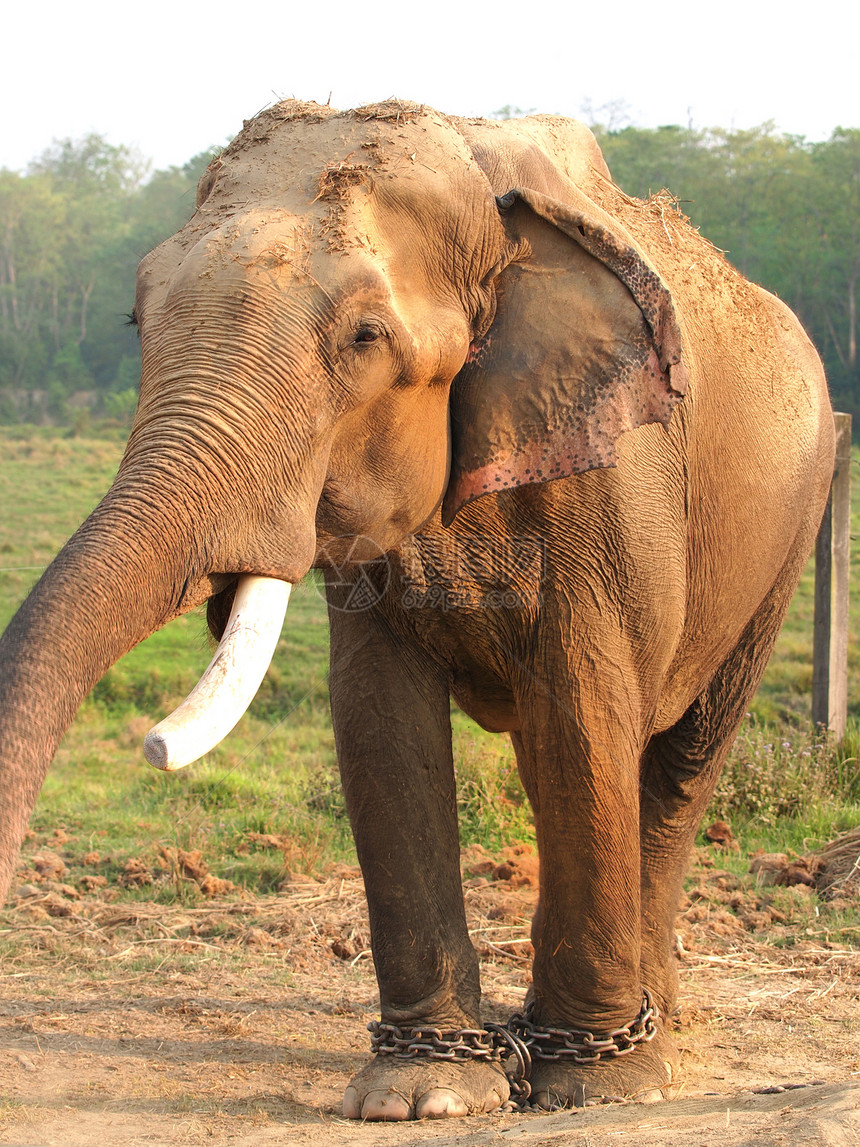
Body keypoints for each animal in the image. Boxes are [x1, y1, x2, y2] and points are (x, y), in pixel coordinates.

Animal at [0, 98, 834, 1119]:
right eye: (135, 314)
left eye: (364, 337)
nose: (152, 746)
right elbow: (378, 717)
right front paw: (422, 1093)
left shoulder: (614, 478)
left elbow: (583, 706)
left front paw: (591, 1088)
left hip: (791, 524)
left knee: (677, 759)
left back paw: (648, 1032)